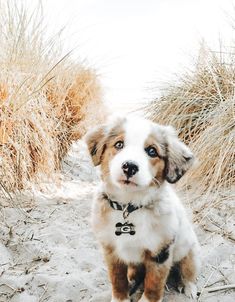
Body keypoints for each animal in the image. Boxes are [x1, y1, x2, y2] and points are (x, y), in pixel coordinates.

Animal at [84, 117, 200, 302]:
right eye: (119, 144)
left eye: (152, 151)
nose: (129, 167)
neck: (129, 206)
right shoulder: (111, 250)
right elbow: (117, 280)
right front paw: (120, 297)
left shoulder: (160, 253)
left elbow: (153, 285)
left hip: (189, 251)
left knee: (188, 272)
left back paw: (188, 287)